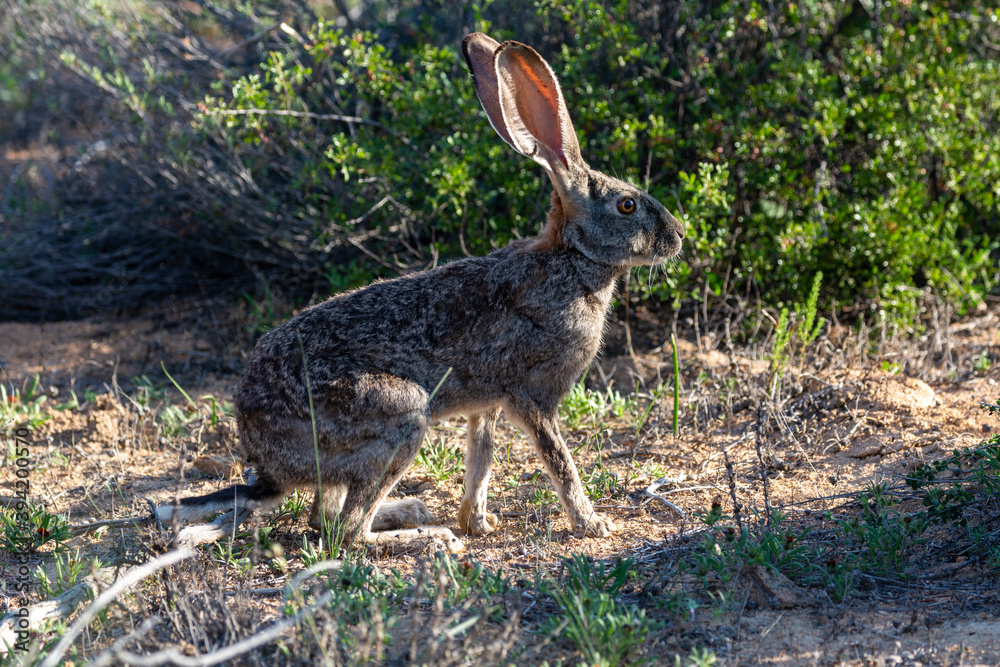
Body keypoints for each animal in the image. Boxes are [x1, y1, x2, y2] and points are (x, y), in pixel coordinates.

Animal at [155, 32, 685, 555]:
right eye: (627, 205)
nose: (679, 235)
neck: (572, 259)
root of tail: (266, 462)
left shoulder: (487, 405)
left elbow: (481, 460)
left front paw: (479, 522)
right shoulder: (532, 397)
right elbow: (560, 464)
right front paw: (593, 525)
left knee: (322, 516)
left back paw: (413, 511)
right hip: (401, 414)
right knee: (343, 533)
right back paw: (428, 536)